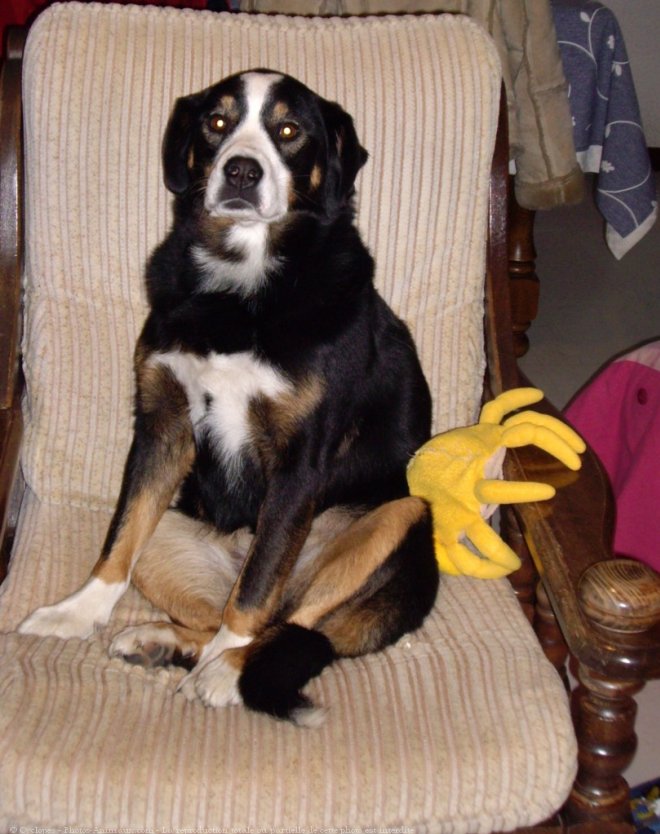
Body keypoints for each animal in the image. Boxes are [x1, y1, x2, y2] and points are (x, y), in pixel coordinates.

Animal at [16, 70, 438, 720]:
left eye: (289, 131)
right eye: (217, 122)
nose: (241, 171)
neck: (240, 288)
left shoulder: (300, 460)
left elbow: (256, 590)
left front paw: (221, 668)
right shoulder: (162, 425)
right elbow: (119, 541)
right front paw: (74, 613)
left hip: (399, 515)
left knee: (292, 621)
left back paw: (224, 668)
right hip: (173, 532)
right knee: (212, 598)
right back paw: (162, 641)